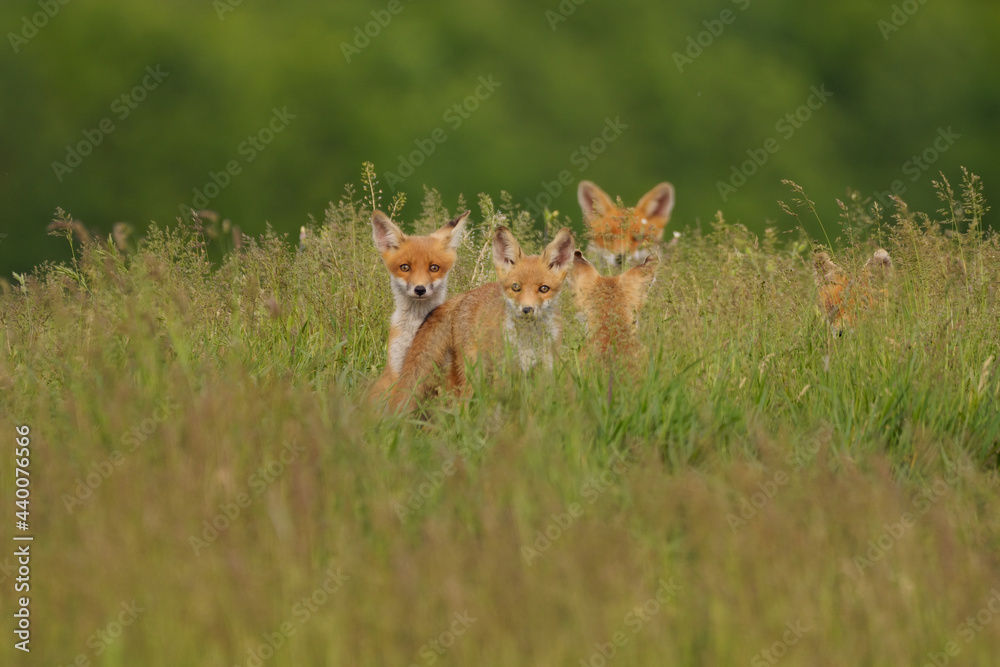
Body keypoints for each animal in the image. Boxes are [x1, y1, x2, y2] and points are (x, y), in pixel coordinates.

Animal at [368, 209, 470, 399]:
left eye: (434, 268)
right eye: (405, 267)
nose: (420, 289)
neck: (416, 328)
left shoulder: (443, 371)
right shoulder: (398, 368)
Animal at [388, 226, 576, 411]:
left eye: (544, 289)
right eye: (516, 287)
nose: (527, 309)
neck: (528, 340)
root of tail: (462, 296)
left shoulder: (545, 369)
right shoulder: (504, 371)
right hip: (473, 371)